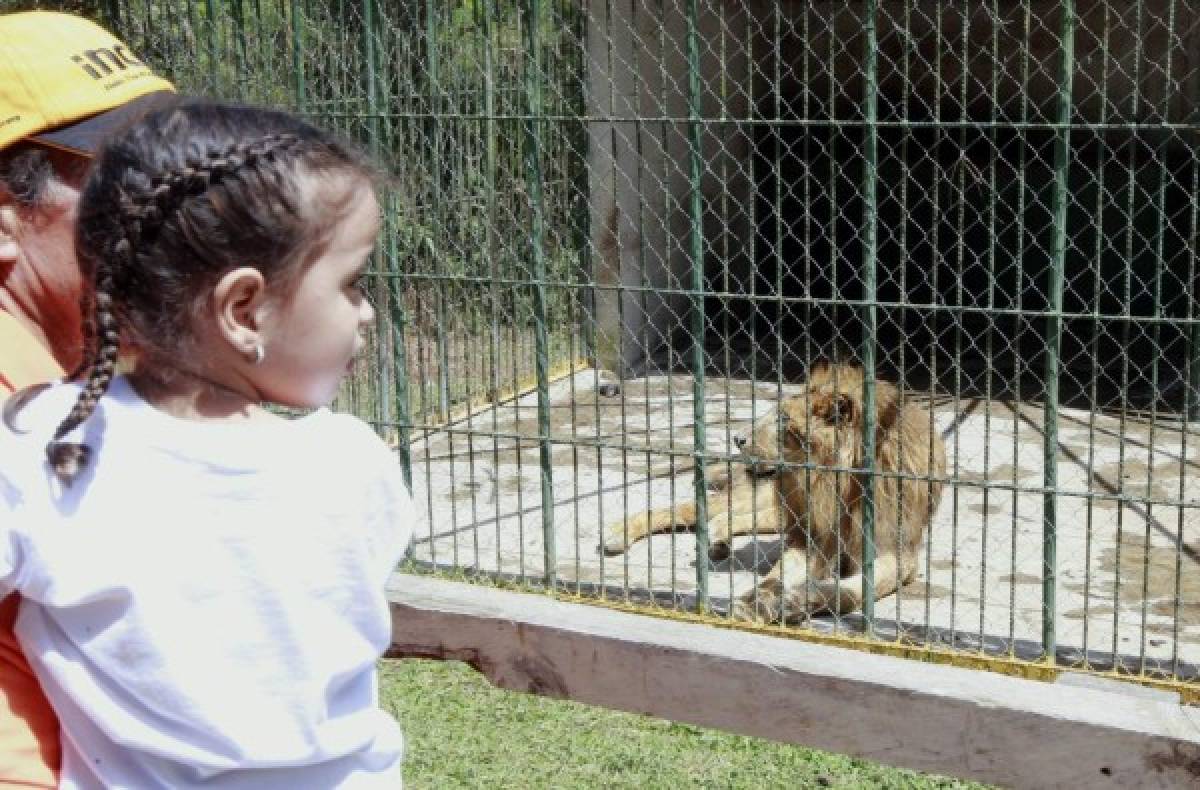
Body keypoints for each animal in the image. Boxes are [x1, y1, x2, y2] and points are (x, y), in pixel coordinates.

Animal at [600, 362, 945, 619]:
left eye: (783, 420)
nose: (737, 438)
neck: (831, 484)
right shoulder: (812, 536)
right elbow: (776, 575)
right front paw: (756, 602)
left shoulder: (897, 555)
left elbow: (851, 591)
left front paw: (795, 601)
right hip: (766, 497)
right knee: (691, 507)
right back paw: (617, 533)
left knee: (735, 516)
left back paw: (718, 540)